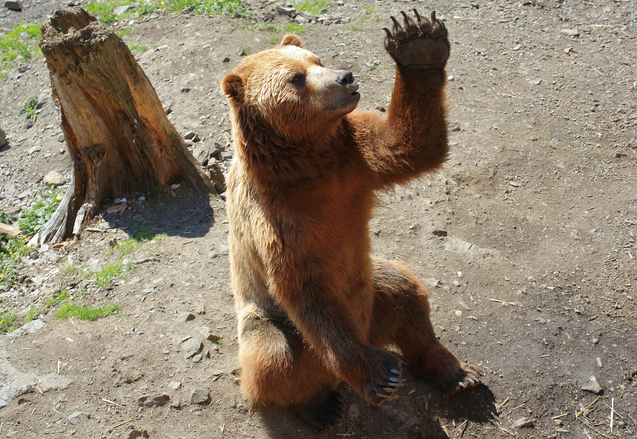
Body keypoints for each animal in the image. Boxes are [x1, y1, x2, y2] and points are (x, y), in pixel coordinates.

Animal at [221, 9, 480, 430]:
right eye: (296, 78)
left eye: (317, 60)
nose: (345, 77)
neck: (306, 168)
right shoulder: (276, 224)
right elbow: (308, 291)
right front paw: (379, 375)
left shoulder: (353, 161)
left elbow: (409, 144)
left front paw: (418, 44)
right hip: (270, 320)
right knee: (273, 355)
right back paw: (318, 407)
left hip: (372, 291)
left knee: (407, 294)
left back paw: (455, 373)